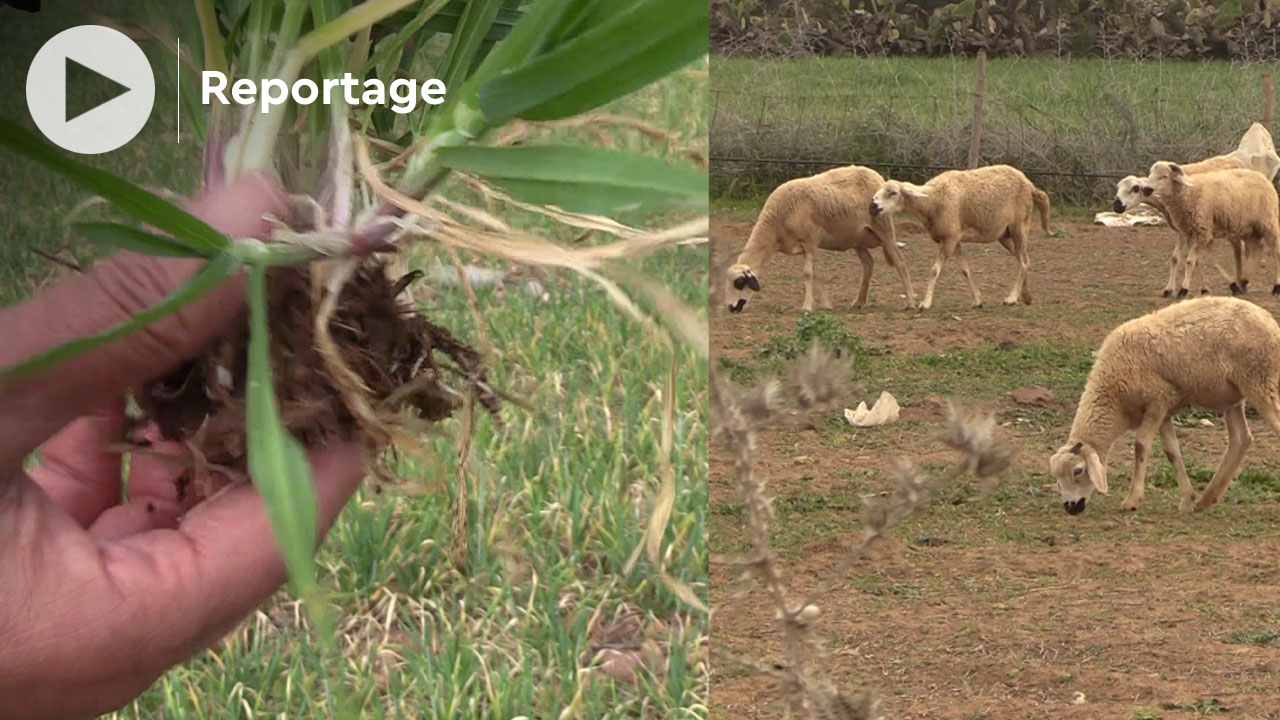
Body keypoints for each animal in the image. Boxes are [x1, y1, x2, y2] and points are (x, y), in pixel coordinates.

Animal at [727, 163, 916, 312]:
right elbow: (815, 274)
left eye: (739, 282)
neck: (776, 224)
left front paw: (807, 307)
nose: (731, 307)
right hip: (857, 238)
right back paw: (859, 301)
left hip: (883, 227)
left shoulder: (810, 241)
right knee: (868, 264)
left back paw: (910, 302)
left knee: (899, 261)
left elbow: (807, 274)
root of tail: (876, 175)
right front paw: (826, 304)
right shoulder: (805, 248)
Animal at [870, 163, 1049, 310]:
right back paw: (1025, 296)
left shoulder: (949, 239)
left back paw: (1011, 298)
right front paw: (977, 300)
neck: (932, 202)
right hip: (1004, 234)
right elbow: (965, 270)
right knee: (1023, 261)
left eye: (893, 193)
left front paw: (925, 303)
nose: (873, 205)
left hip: (1019, 227)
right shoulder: (955, 240)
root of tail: (1030, 185)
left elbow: (934, 270)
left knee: (1024, 262)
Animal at [1044, 294, 1280, 512]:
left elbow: (1141, 445)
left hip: (1260, 381)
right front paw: (1187, 498)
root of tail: (1269, 320)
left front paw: (1133, 499)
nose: (1070, 507)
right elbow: (1172, 451)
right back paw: (1206, 499)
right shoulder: (1165, 409)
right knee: (1241, 439)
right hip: (1231, 396)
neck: (1113, 398)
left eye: (1078, 471)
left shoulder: (1158, 399)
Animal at [1141, 161, 1280, 295]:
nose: (1146, 189)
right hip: (1248, 228)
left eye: (1164, 176)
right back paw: (1245, 280)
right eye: (1150, 174)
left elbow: (1190, 261)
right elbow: (1194, 260)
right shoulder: (1190, 233)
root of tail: (1262, 177)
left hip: (1268, 222)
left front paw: (1183, 289)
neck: (1189, 194)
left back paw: (1276, 286)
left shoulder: (1202, 232)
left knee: (1276, 250)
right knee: (1257, 249)